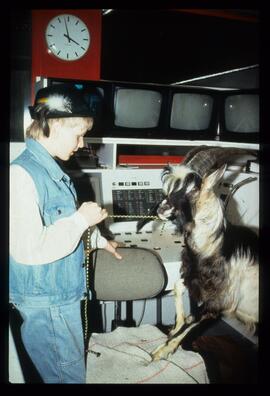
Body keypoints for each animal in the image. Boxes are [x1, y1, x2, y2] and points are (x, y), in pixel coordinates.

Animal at [149, 146, 258, 362]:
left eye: (193, 189)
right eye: (171, 186)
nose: (162, 208)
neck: (212, 246)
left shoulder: (219, 302)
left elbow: (194, 321)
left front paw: (162, 350)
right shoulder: (193, 278)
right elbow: (177, 288)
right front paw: (174, 329)